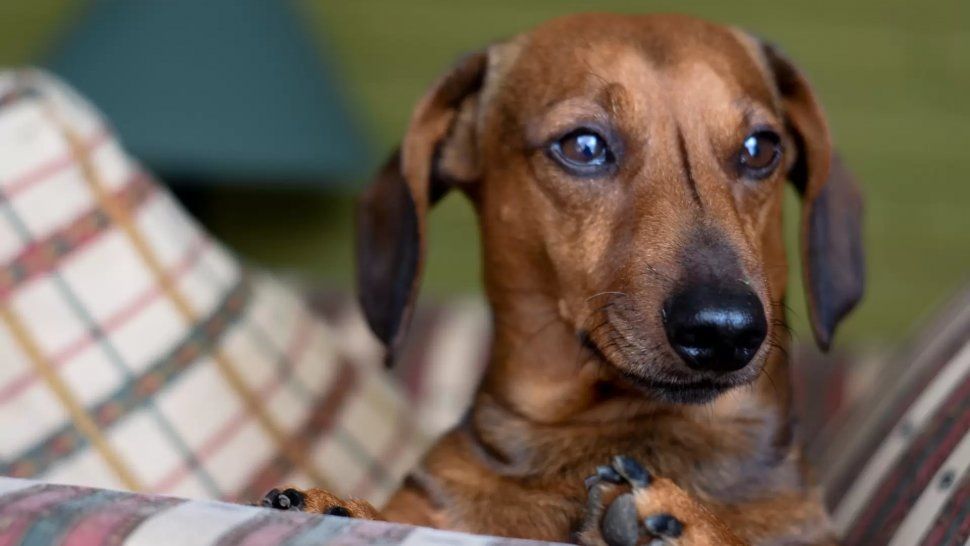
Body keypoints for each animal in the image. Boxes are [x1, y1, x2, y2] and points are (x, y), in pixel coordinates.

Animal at [260, 13, 864, 544]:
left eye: (761, 148)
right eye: (584, 146)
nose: (724, 330)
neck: (609, 429)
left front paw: (691, 521)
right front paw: (341, 507)